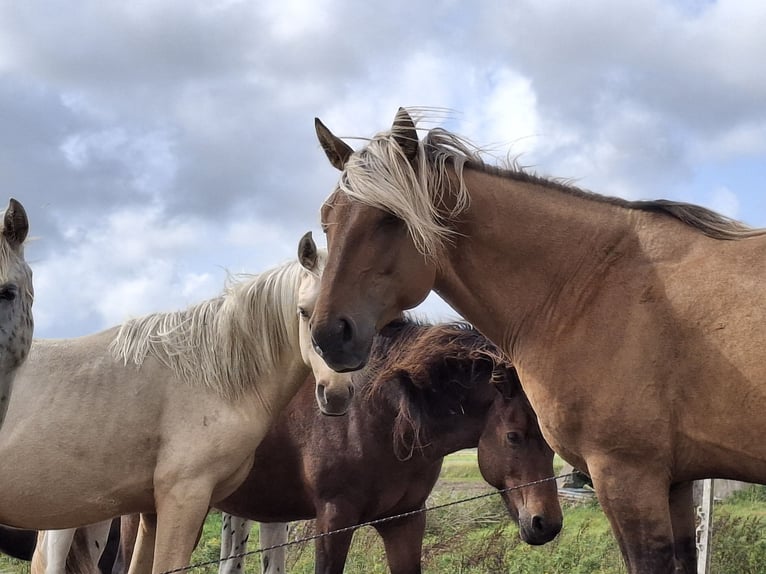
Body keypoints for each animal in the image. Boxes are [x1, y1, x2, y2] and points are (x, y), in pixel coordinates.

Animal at [308, 109, 766, 574]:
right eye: (328, 218)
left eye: (390, 218)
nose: (329, 335)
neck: (590, 286)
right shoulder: (675, 483)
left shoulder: (629, 477)